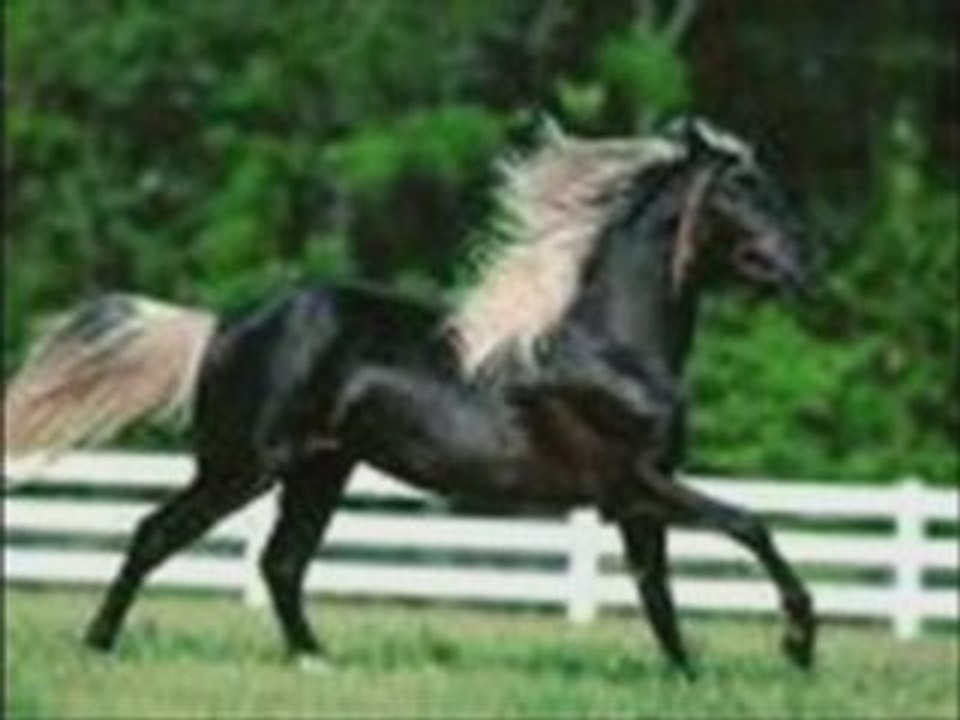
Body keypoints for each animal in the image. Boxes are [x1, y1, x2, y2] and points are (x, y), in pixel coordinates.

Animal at [5, 117, 817, 677]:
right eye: (741, 189)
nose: (805, 266)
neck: (613, 349)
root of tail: (224, 326)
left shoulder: (636, 500)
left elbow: (658, 595)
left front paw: (692, 677)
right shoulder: (634, 485)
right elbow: (751, 526)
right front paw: (798, 643)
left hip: (319, 470)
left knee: (280, 563)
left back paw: (317, 662)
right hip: (242, 466)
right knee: (156, 535)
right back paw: (97, 647)